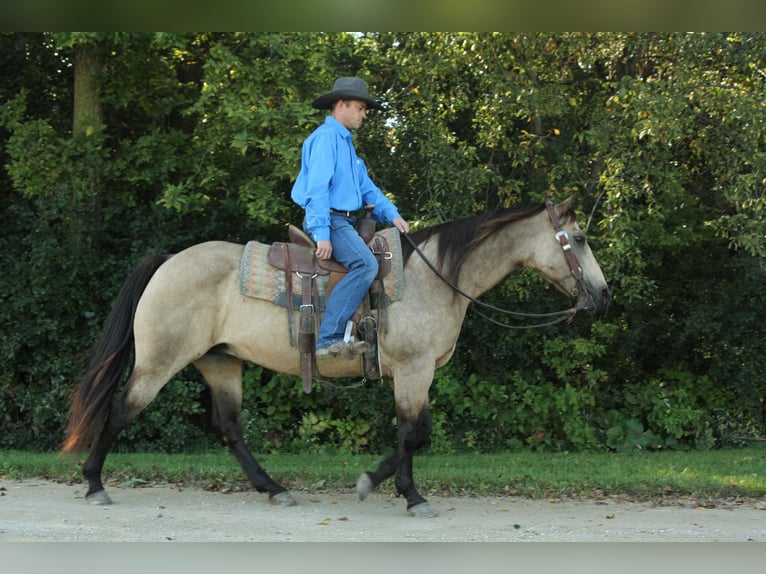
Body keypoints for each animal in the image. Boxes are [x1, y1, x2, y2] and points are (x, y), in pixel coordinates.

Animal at [60, 196, 612, 520]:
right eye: (580, 238)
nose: (604, 295)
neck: (432, 278)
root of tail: (168, 261)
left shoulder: (414, 374)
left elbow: (413, 432)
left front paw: (398, 489)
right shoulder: (413, 370)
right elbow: (415, 434)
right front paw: (392, 490)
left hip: (220, 362)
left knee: (230, 428)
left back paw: (273, 487)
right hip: (159, 362)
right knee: (120, 411)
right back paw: (94, 485)